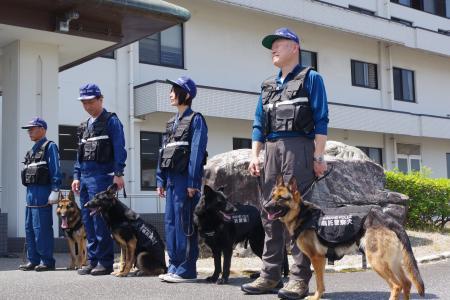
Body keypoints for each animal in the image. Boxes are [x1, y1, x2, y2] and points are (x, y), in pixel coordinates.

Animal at [266, 176, 424, 300]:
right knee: (406, 283)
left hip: (377, 262)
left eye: (281, 199)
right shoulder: (321, 260)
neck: (301, 214)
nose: (265, 206)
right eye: (272, 196)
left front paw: (315, 297)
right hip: (392, 262)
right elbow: (321, 282)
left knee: (397, 286)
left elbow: (318, 282)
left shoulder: (316, 258)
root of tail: (388, 219)